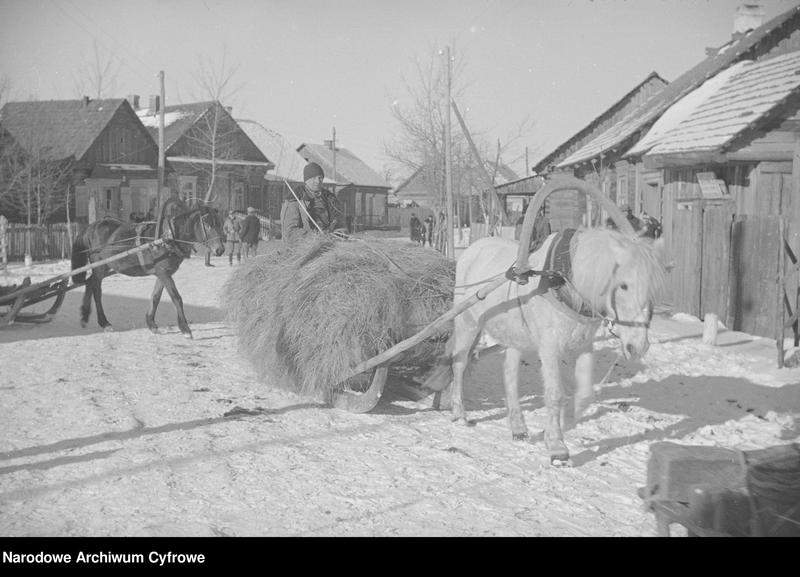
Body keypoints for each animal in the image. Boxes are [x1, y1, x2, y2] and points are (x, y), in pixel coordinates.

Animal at [70, 198, 225, 338]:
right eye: (207, 224)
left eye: (220, 223)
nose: (220, 250)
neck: (168, 238)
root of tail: (91, 226)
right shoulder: (163, 273)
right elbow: (176, 298)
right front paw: (185, 328)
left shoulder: (163, 273)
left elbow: (155, 297)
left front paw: (151, 324)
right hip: (100, 265)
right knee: (96, 289)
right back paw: (104, 322)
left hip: (105, 267)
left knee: (90, 282)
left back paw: (84, 316)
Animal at [446, 226, 664, 464]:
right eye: (623, 286)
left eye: (653, 289)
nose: (638, 346)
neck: (562, 283)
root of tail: (473, 248)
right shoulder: (549, 348)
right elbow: (554, 393)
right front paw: (556, 445)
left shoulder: (584, 345)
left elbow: (584, 393)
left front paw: (564, 423)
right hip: (467, 322)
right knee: (459, 364)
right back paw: (459, 412)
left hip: (515, 336)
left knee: (509, 374)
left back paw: (518, 427)